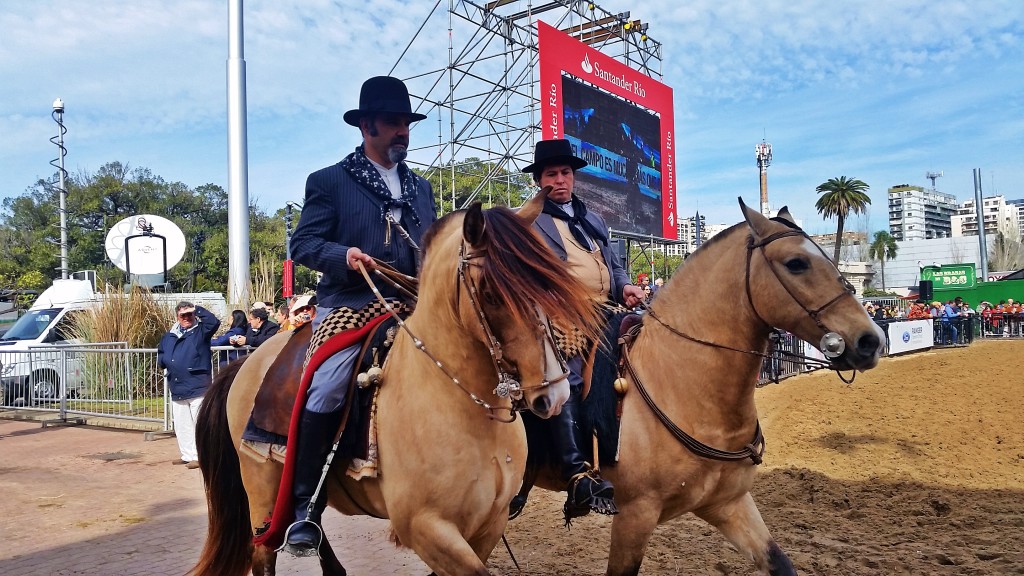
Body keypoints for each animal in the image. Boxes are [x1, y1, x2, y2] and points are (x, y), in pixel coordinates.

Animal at [191, 189, 598, 573]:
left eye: (551, 283)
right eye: (492, 294)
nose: (555, 393)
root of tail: (245, 363)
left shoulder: (489, 525)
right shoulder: (425, 527)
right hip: (262, 488)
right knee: (264, 551)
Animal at [516, 198, 884, 573]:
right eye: (796, 263)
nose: (871, 340)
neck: (684, 388)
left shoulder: (729, 504)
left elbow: (780, 563)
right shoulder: (635, 515)